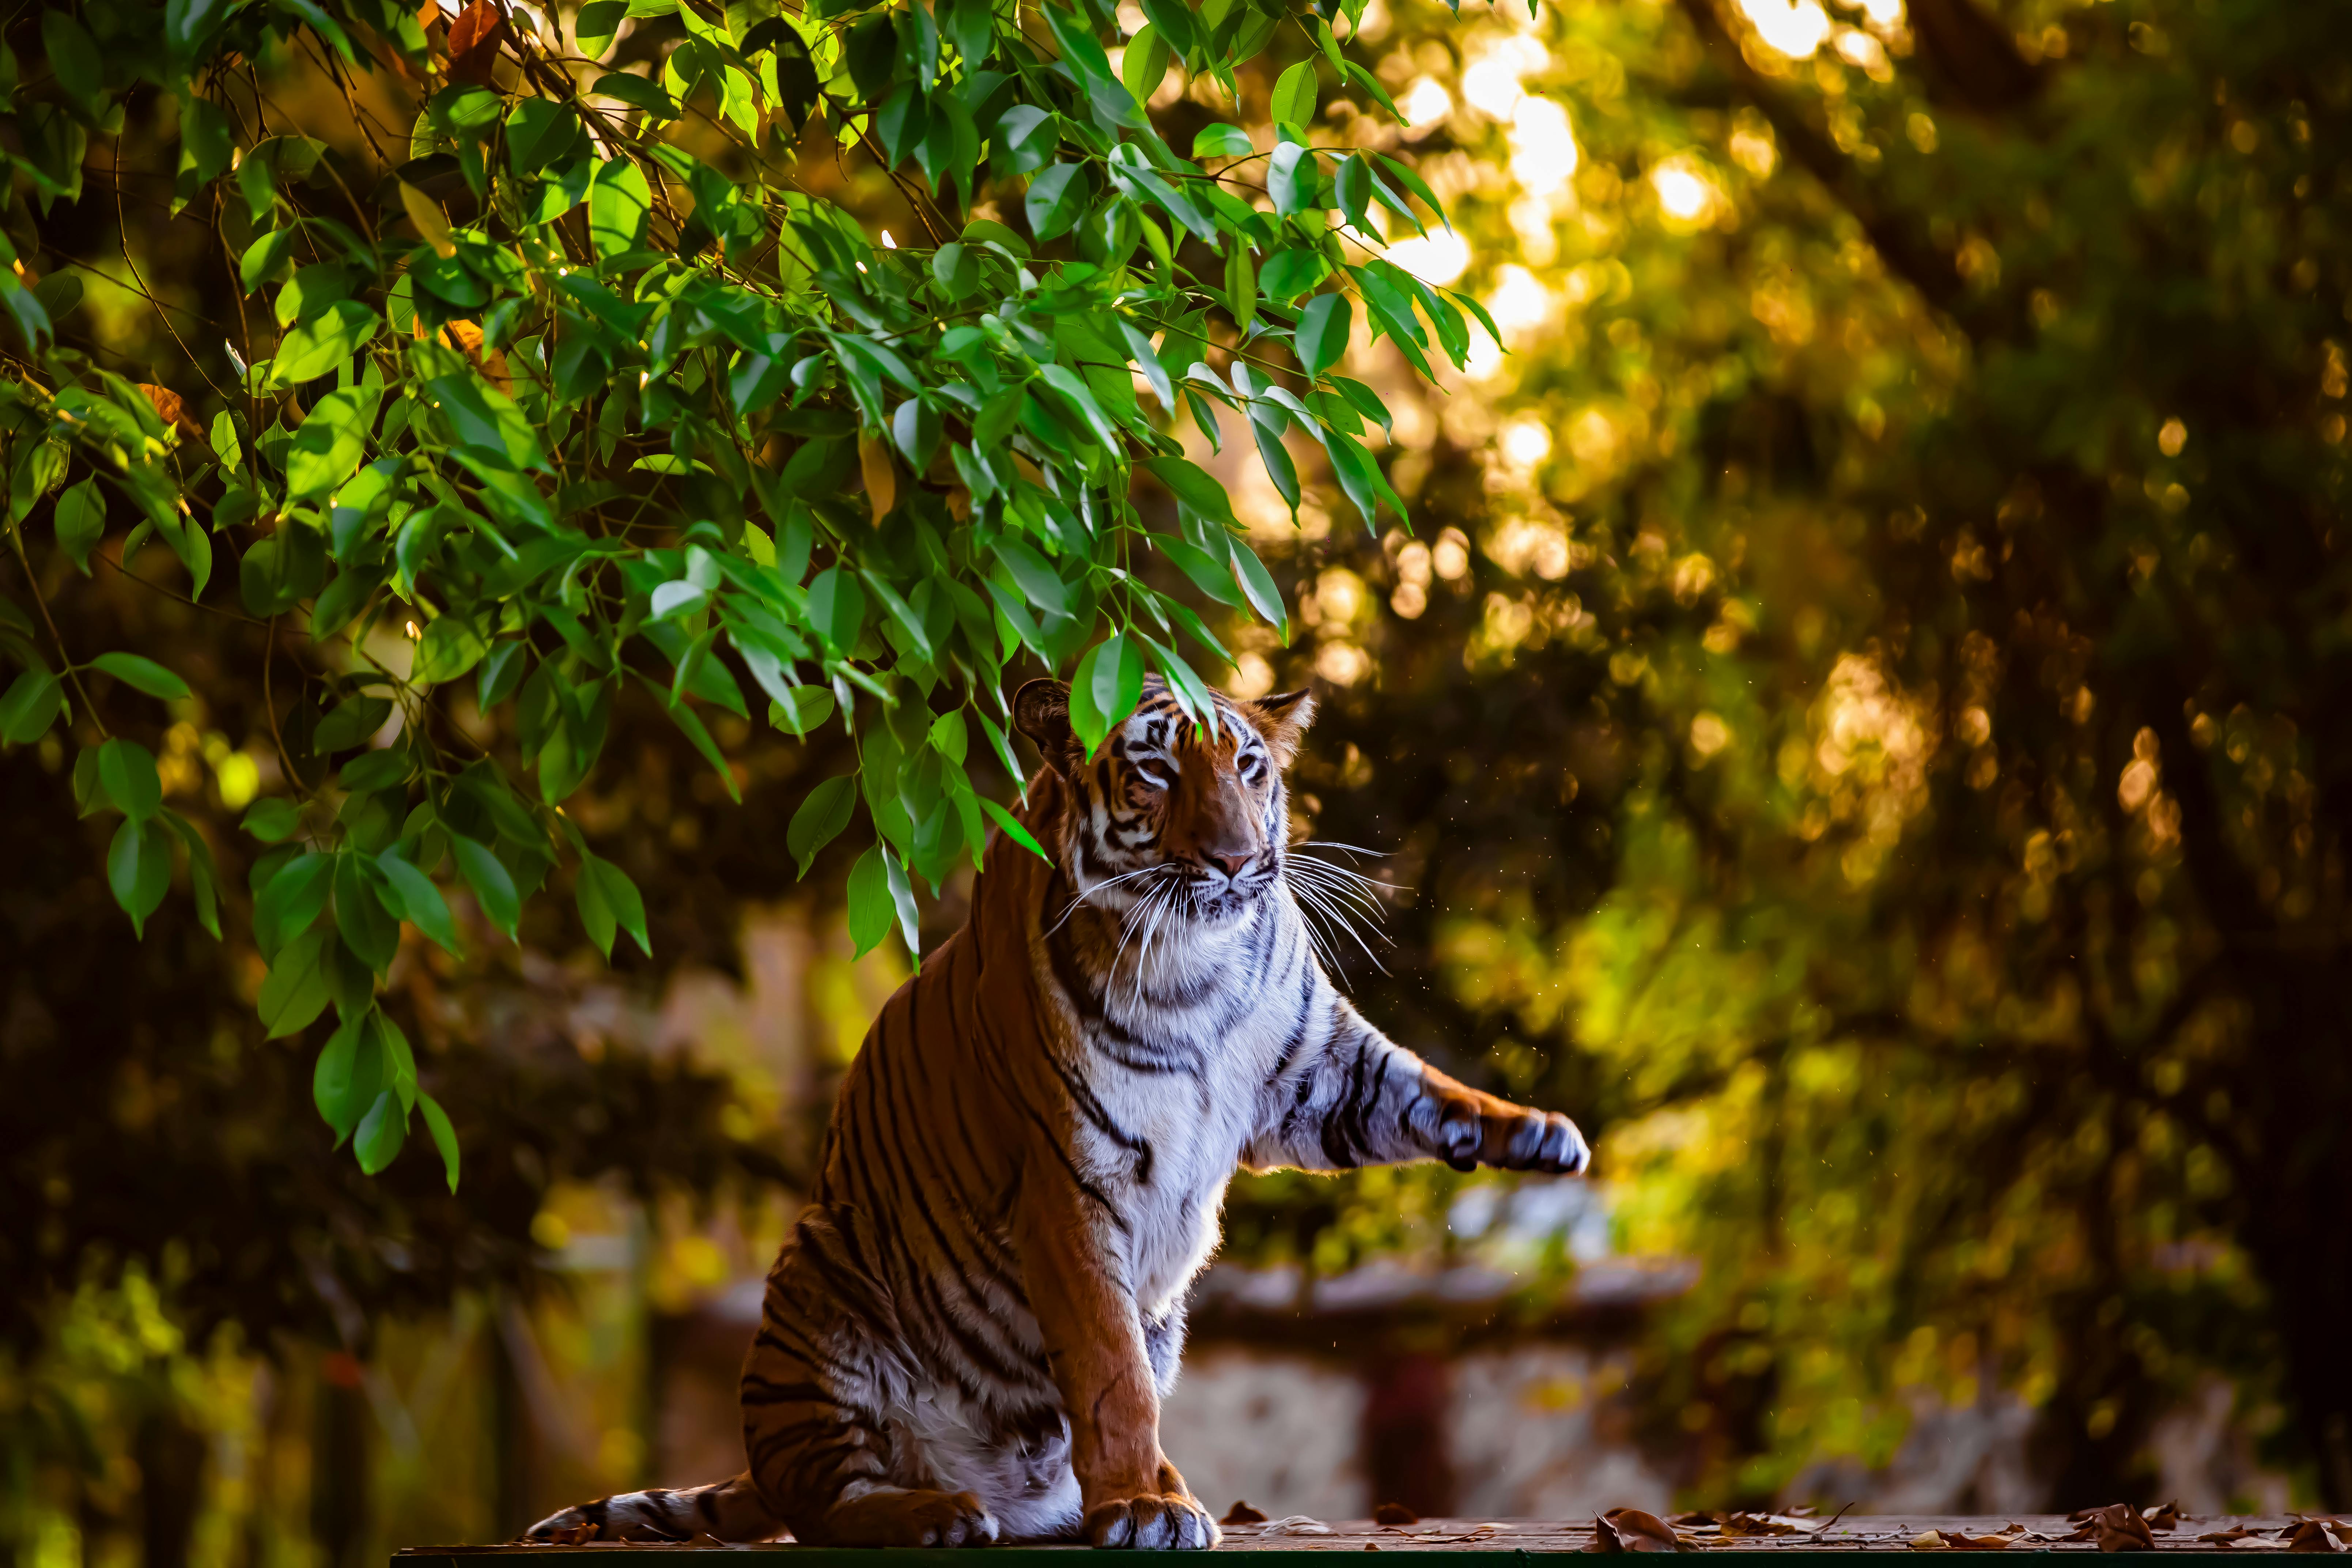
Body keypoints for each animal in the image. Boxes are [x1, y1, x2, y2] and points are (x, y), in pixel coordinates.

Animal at [523, 676, 1590, 1550]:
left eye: (1249, 768)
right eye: (1157, 771)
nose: (1238, 860)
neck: (1198, 969)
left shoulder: (1316, 1079)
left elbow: (1424, 1089)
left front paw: (1538, 1131)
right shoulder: (1070, 1183)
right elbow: (1111, 1370)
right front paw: (1145, 1506)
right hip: (819, 1278)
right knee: (824, 1499)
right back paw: (939, 1511)